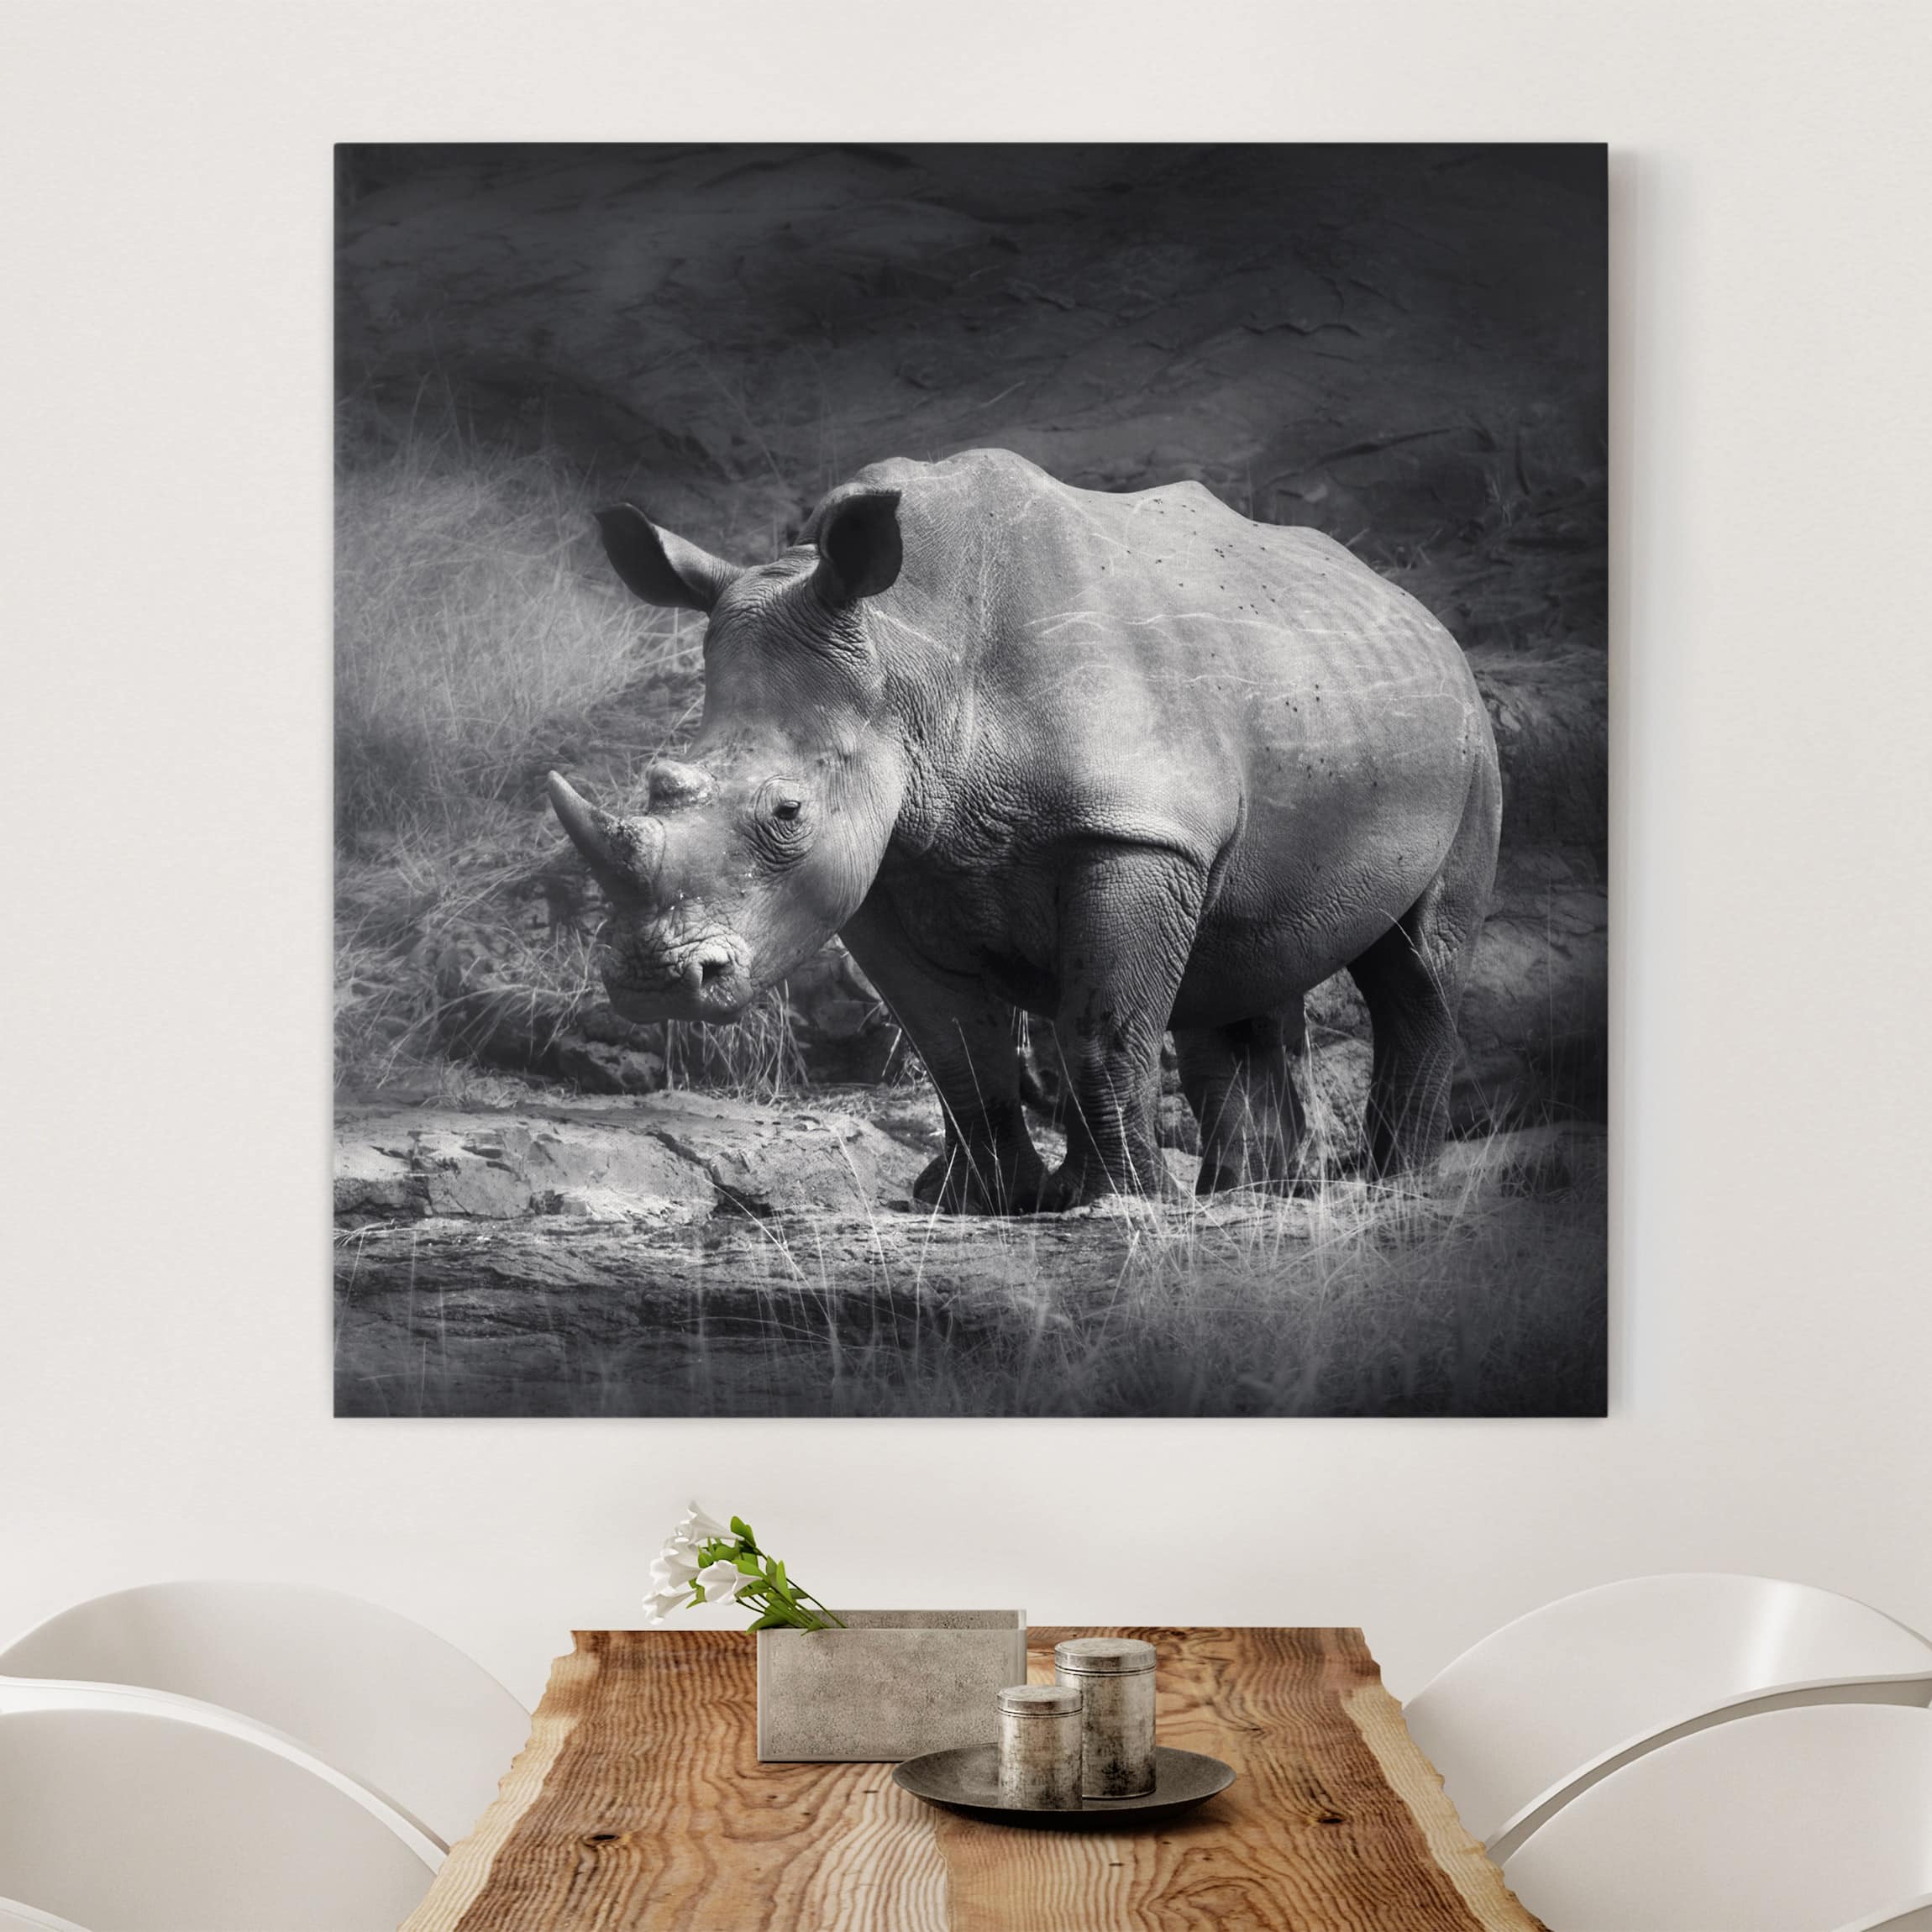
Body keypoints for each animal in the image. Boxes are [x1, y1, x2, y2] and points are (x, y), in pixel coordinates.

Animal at [548, 448, 1500, 1211]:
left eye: (788, 813)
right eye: (655, 783)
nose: (652, 982)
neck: (908, 656)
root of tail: (1410, 606)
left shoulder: (1130, 832)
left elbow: (1101, 1029)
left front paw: (1120, 1204)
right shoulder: (885, 871)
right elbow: (958, 1051)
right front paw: (977, 1203)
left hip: (1465, 734)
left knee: (1415, 963)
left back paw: (1389, 1183)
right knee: (1236, 965)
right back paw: (1252, 1191)